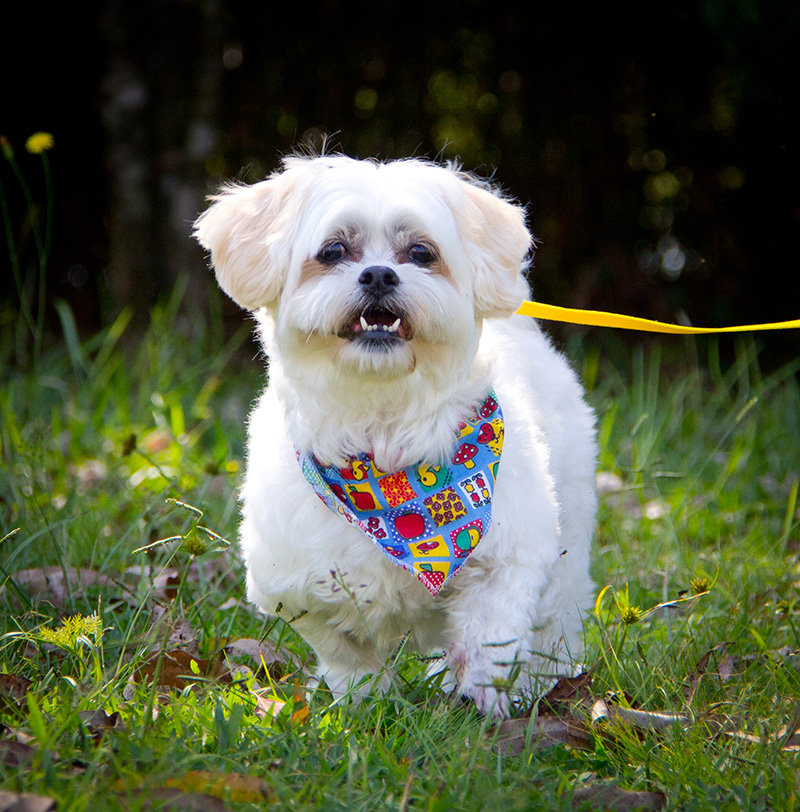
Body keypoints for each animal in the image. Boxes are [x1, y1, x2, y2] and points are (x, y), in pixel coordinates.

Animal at [192, 154, 592, 716]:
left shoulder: (509, 555)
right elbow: (346, 651)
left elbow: (489, 637)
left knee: (558, 616)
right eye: (333, 251)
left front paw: (482, 702)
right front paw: (361, 705)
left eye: (421, 253)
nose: (379, 273)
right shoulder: (302, 582)